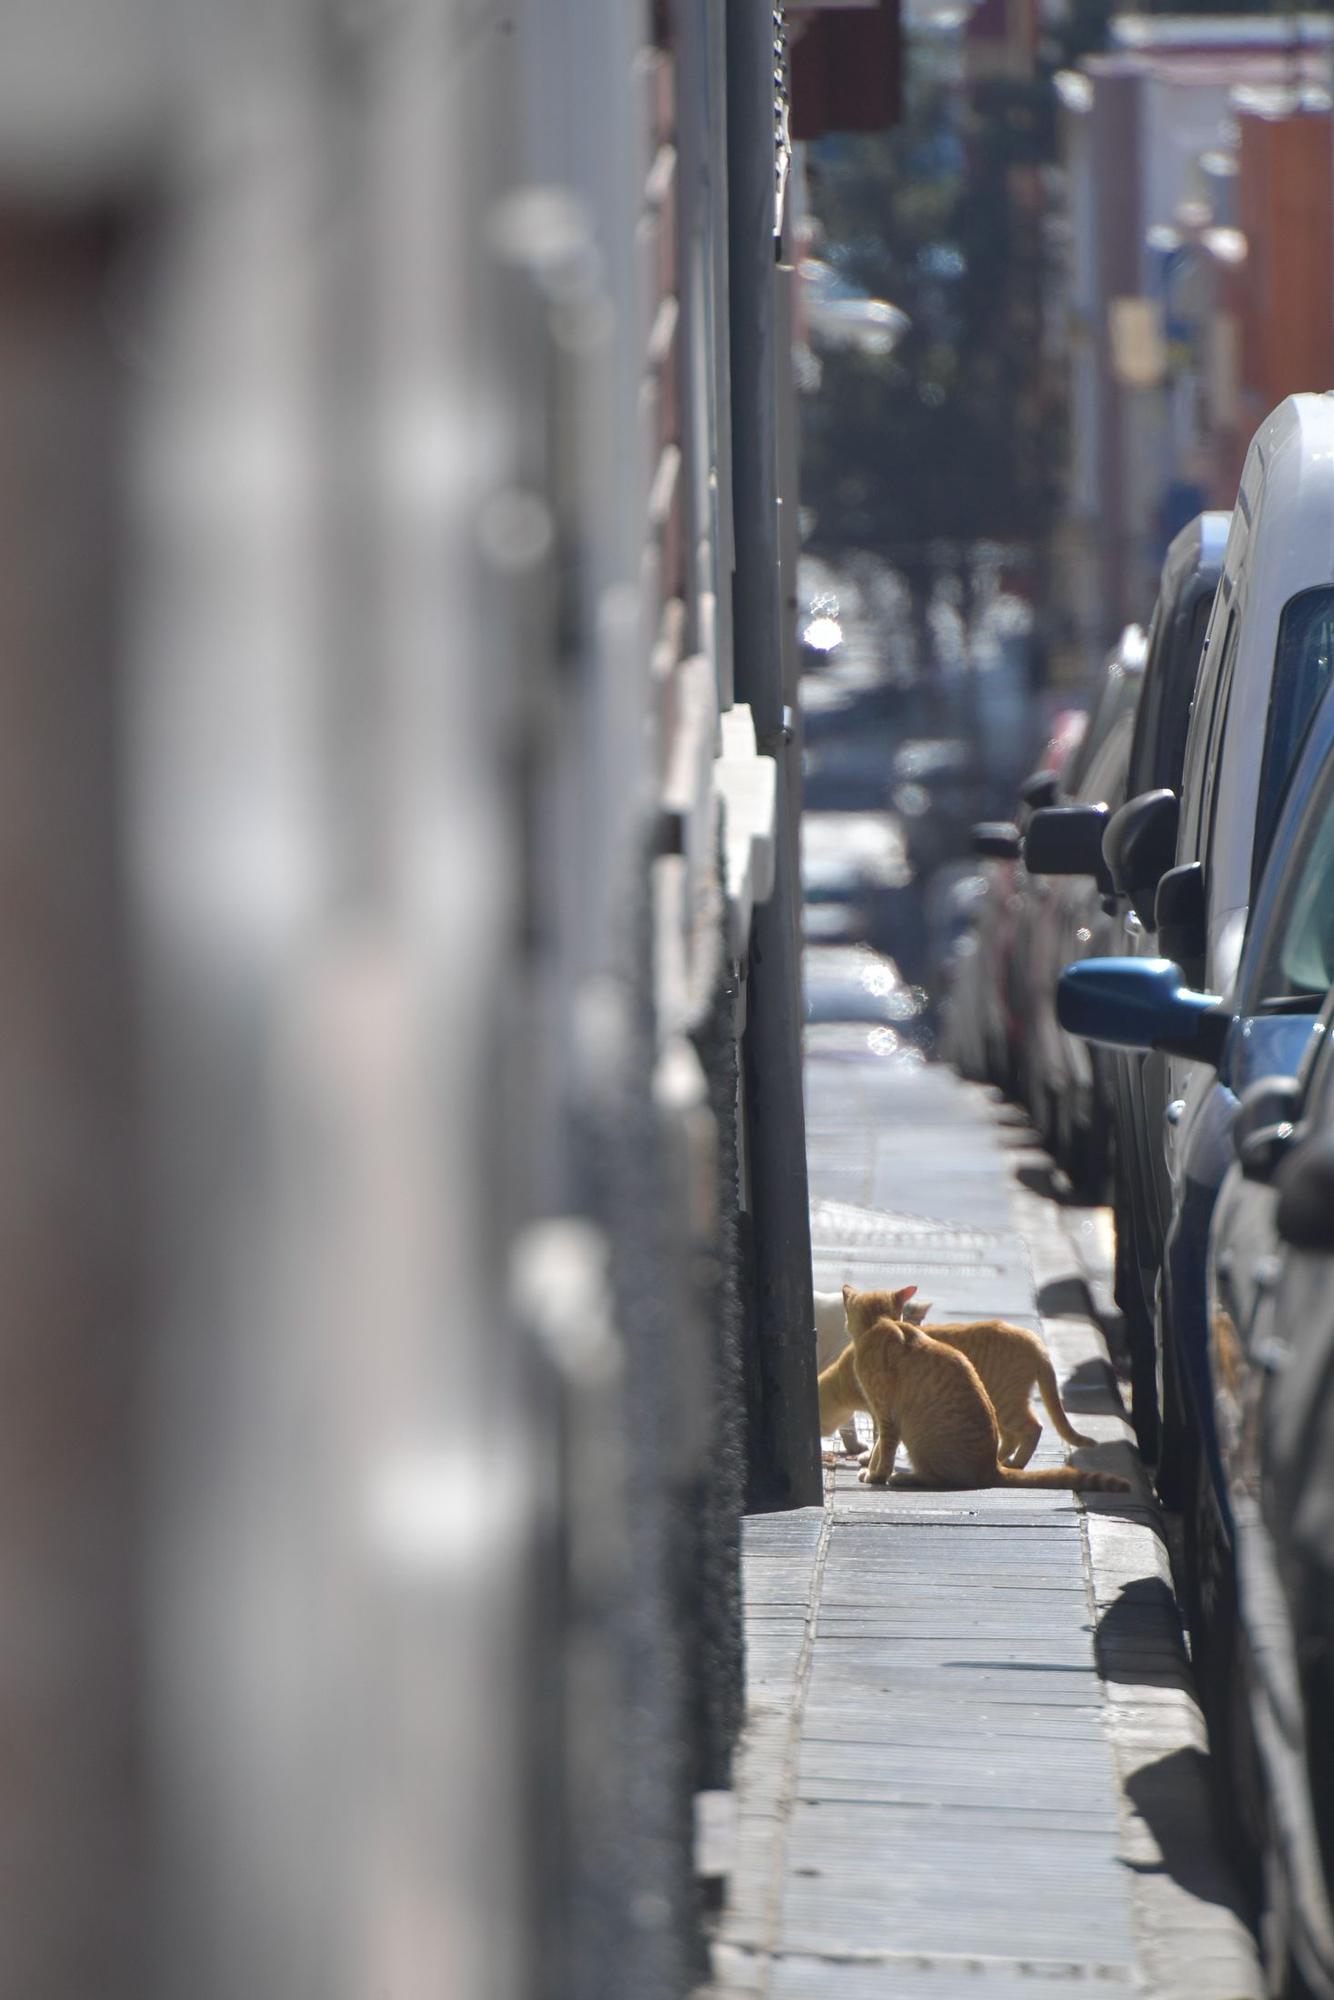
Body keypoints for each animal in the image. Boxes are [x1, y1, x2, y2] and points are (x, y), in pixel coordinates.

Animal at [844, 1288, 1128, 1496]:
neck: (879, 1324)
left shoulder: (885, 1413)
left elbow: (884, 1447)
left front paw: (876, 1474)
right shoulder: (883, 1414)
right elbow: (880, 1445)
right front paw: (871, 1466)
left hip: (981, 1412)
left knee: (1028, 1430)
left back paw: (907, 1477)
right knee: (1012, 1436)